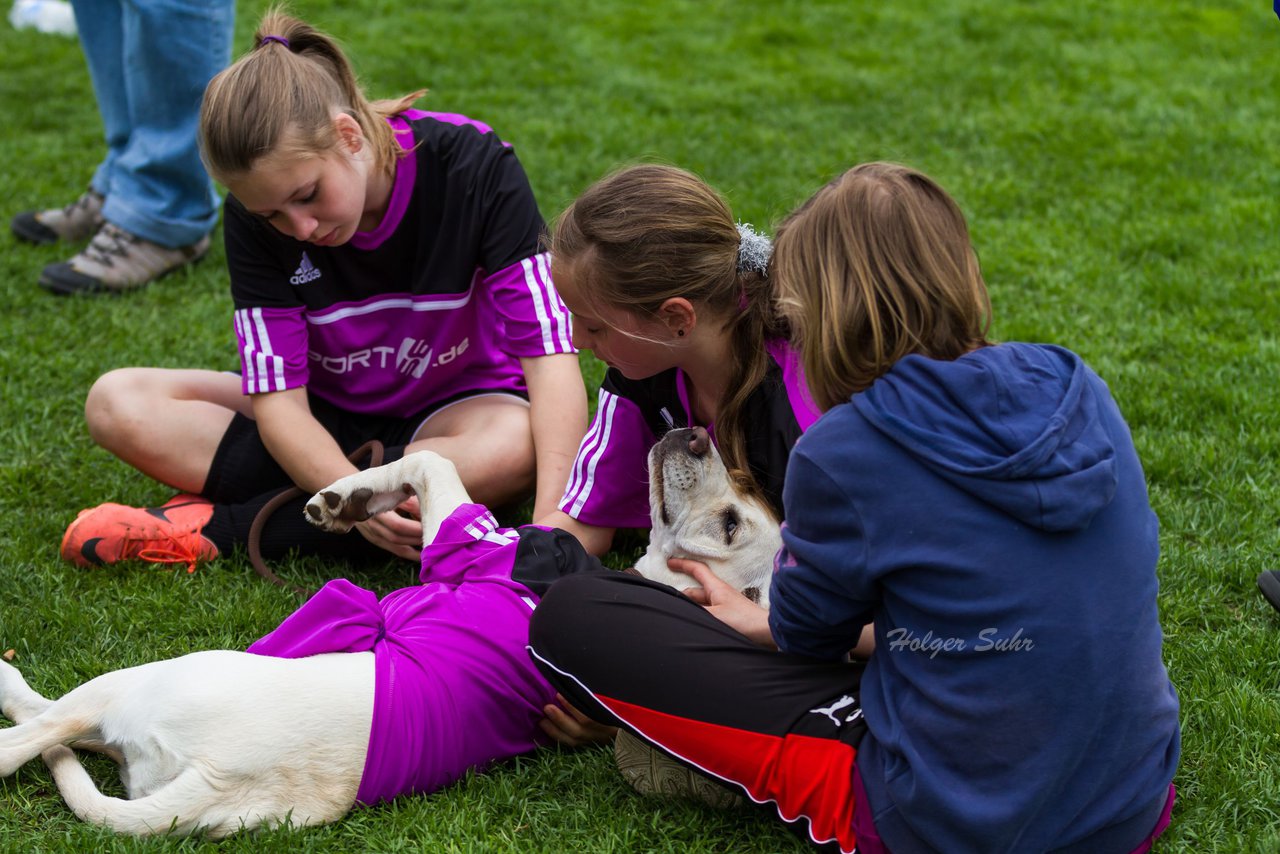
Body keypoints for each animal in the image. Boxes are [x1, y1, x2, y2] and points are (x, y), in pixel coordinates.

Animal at [0, 425, 778, 834]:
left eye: (729, 523)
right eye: (741, 502)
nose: (695, 432)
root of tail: (213, 783)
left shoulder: (465, 540)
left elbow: (436, 458)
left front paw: (346, 499)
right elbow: (428, 458)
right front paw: (348, 499)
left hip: (152, 678)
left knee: (33, 732)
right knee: (53, 728)